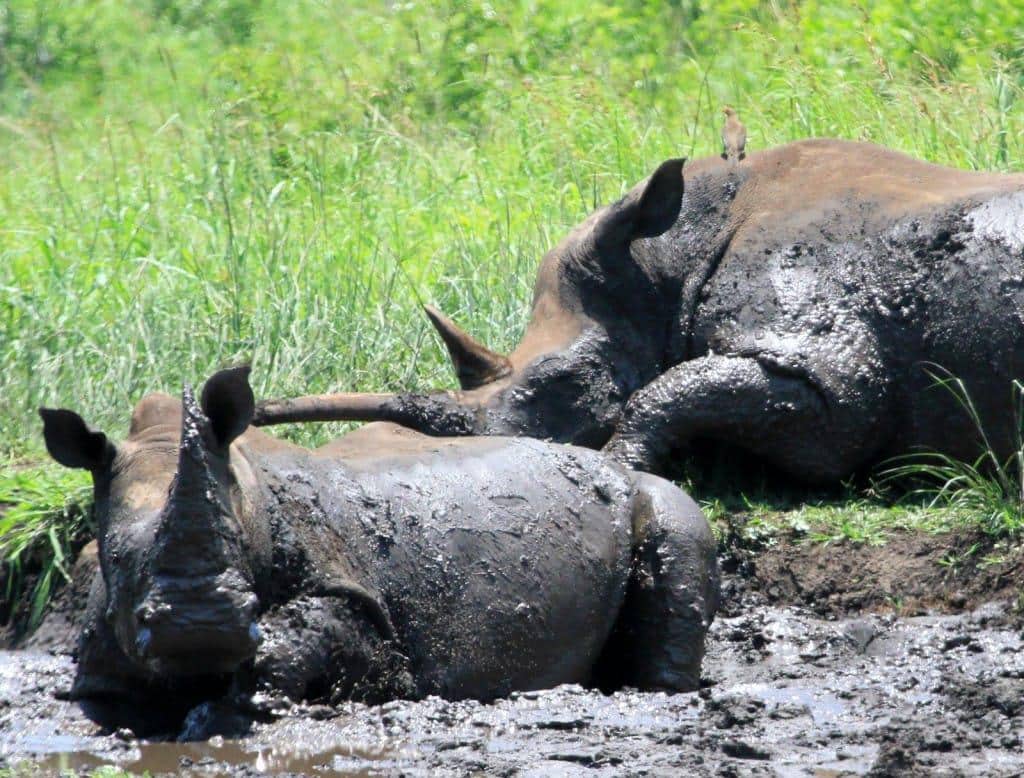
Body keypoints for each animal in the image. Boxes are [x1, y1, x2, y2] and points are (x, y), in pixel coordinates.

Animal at [39, 366, 718, 726]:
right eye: (114, 558)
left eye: (237, 544)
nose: (199, 631)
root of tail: (604, 459)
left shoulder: (369, 613)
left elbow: (315, 631)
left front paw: (231, 708)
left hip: (652, 496)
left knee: (673, 525)